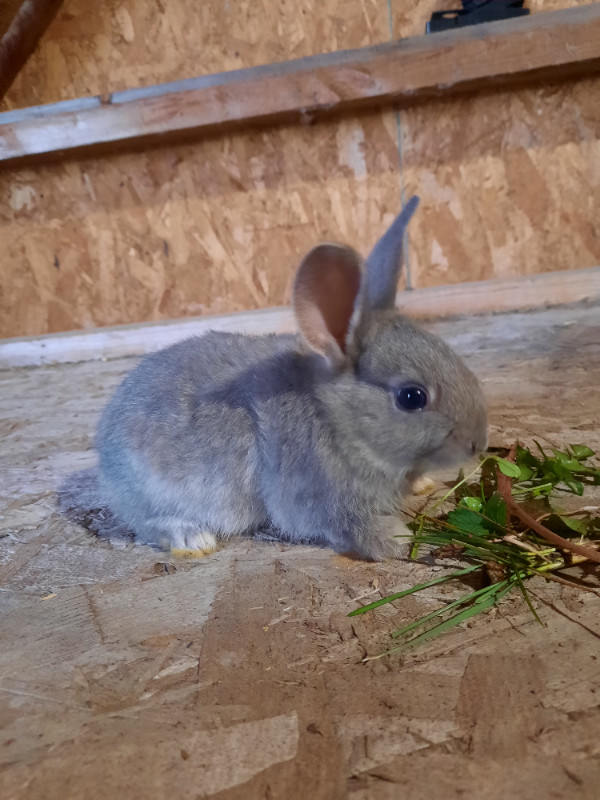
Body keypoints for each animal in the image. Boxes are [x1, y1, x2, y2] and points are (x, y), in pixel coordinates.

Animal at [95, 196, 487, 560]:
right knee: (150, 523)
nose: (478, 444)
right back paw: (193, 540)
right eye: (412, 397)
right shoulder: (325, 500)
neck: (336, 419)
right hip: (155, 492)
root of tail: (104, 445)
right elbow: (355, 527)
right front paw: (401, 541)